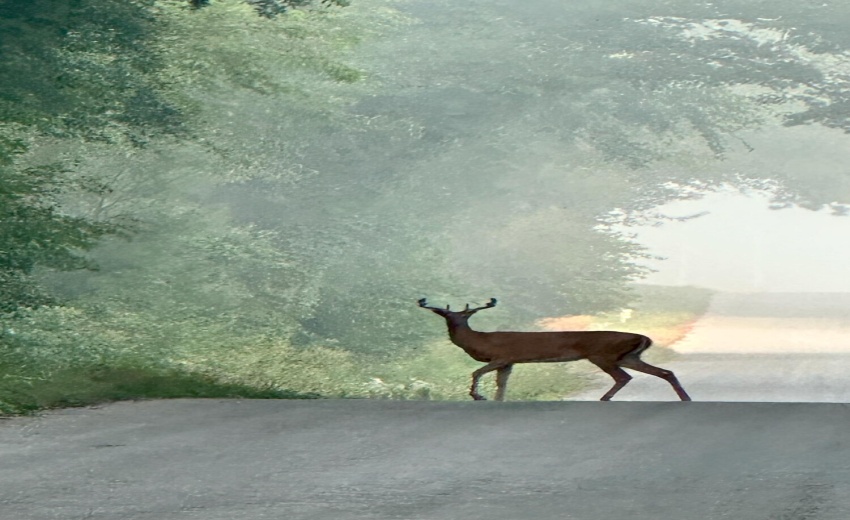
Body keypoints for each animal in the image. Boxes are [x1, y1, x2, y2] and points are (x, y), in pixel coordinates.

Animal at [418, 297, 691, 402]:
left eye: (466, 315)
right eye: (446, 315)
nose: (454, 322)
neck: (479, 340)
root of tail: (645, 336)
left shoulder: (502, 356)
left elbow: (476, 373)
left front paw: (477, 396)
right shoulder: (508, 362)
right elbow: (501, 384)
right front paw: (495, 399)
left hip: (603, 355)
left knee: (623, 377)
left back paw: (603, 399)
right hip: (628, 356)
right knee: (664, 372)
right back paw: (685, 398)